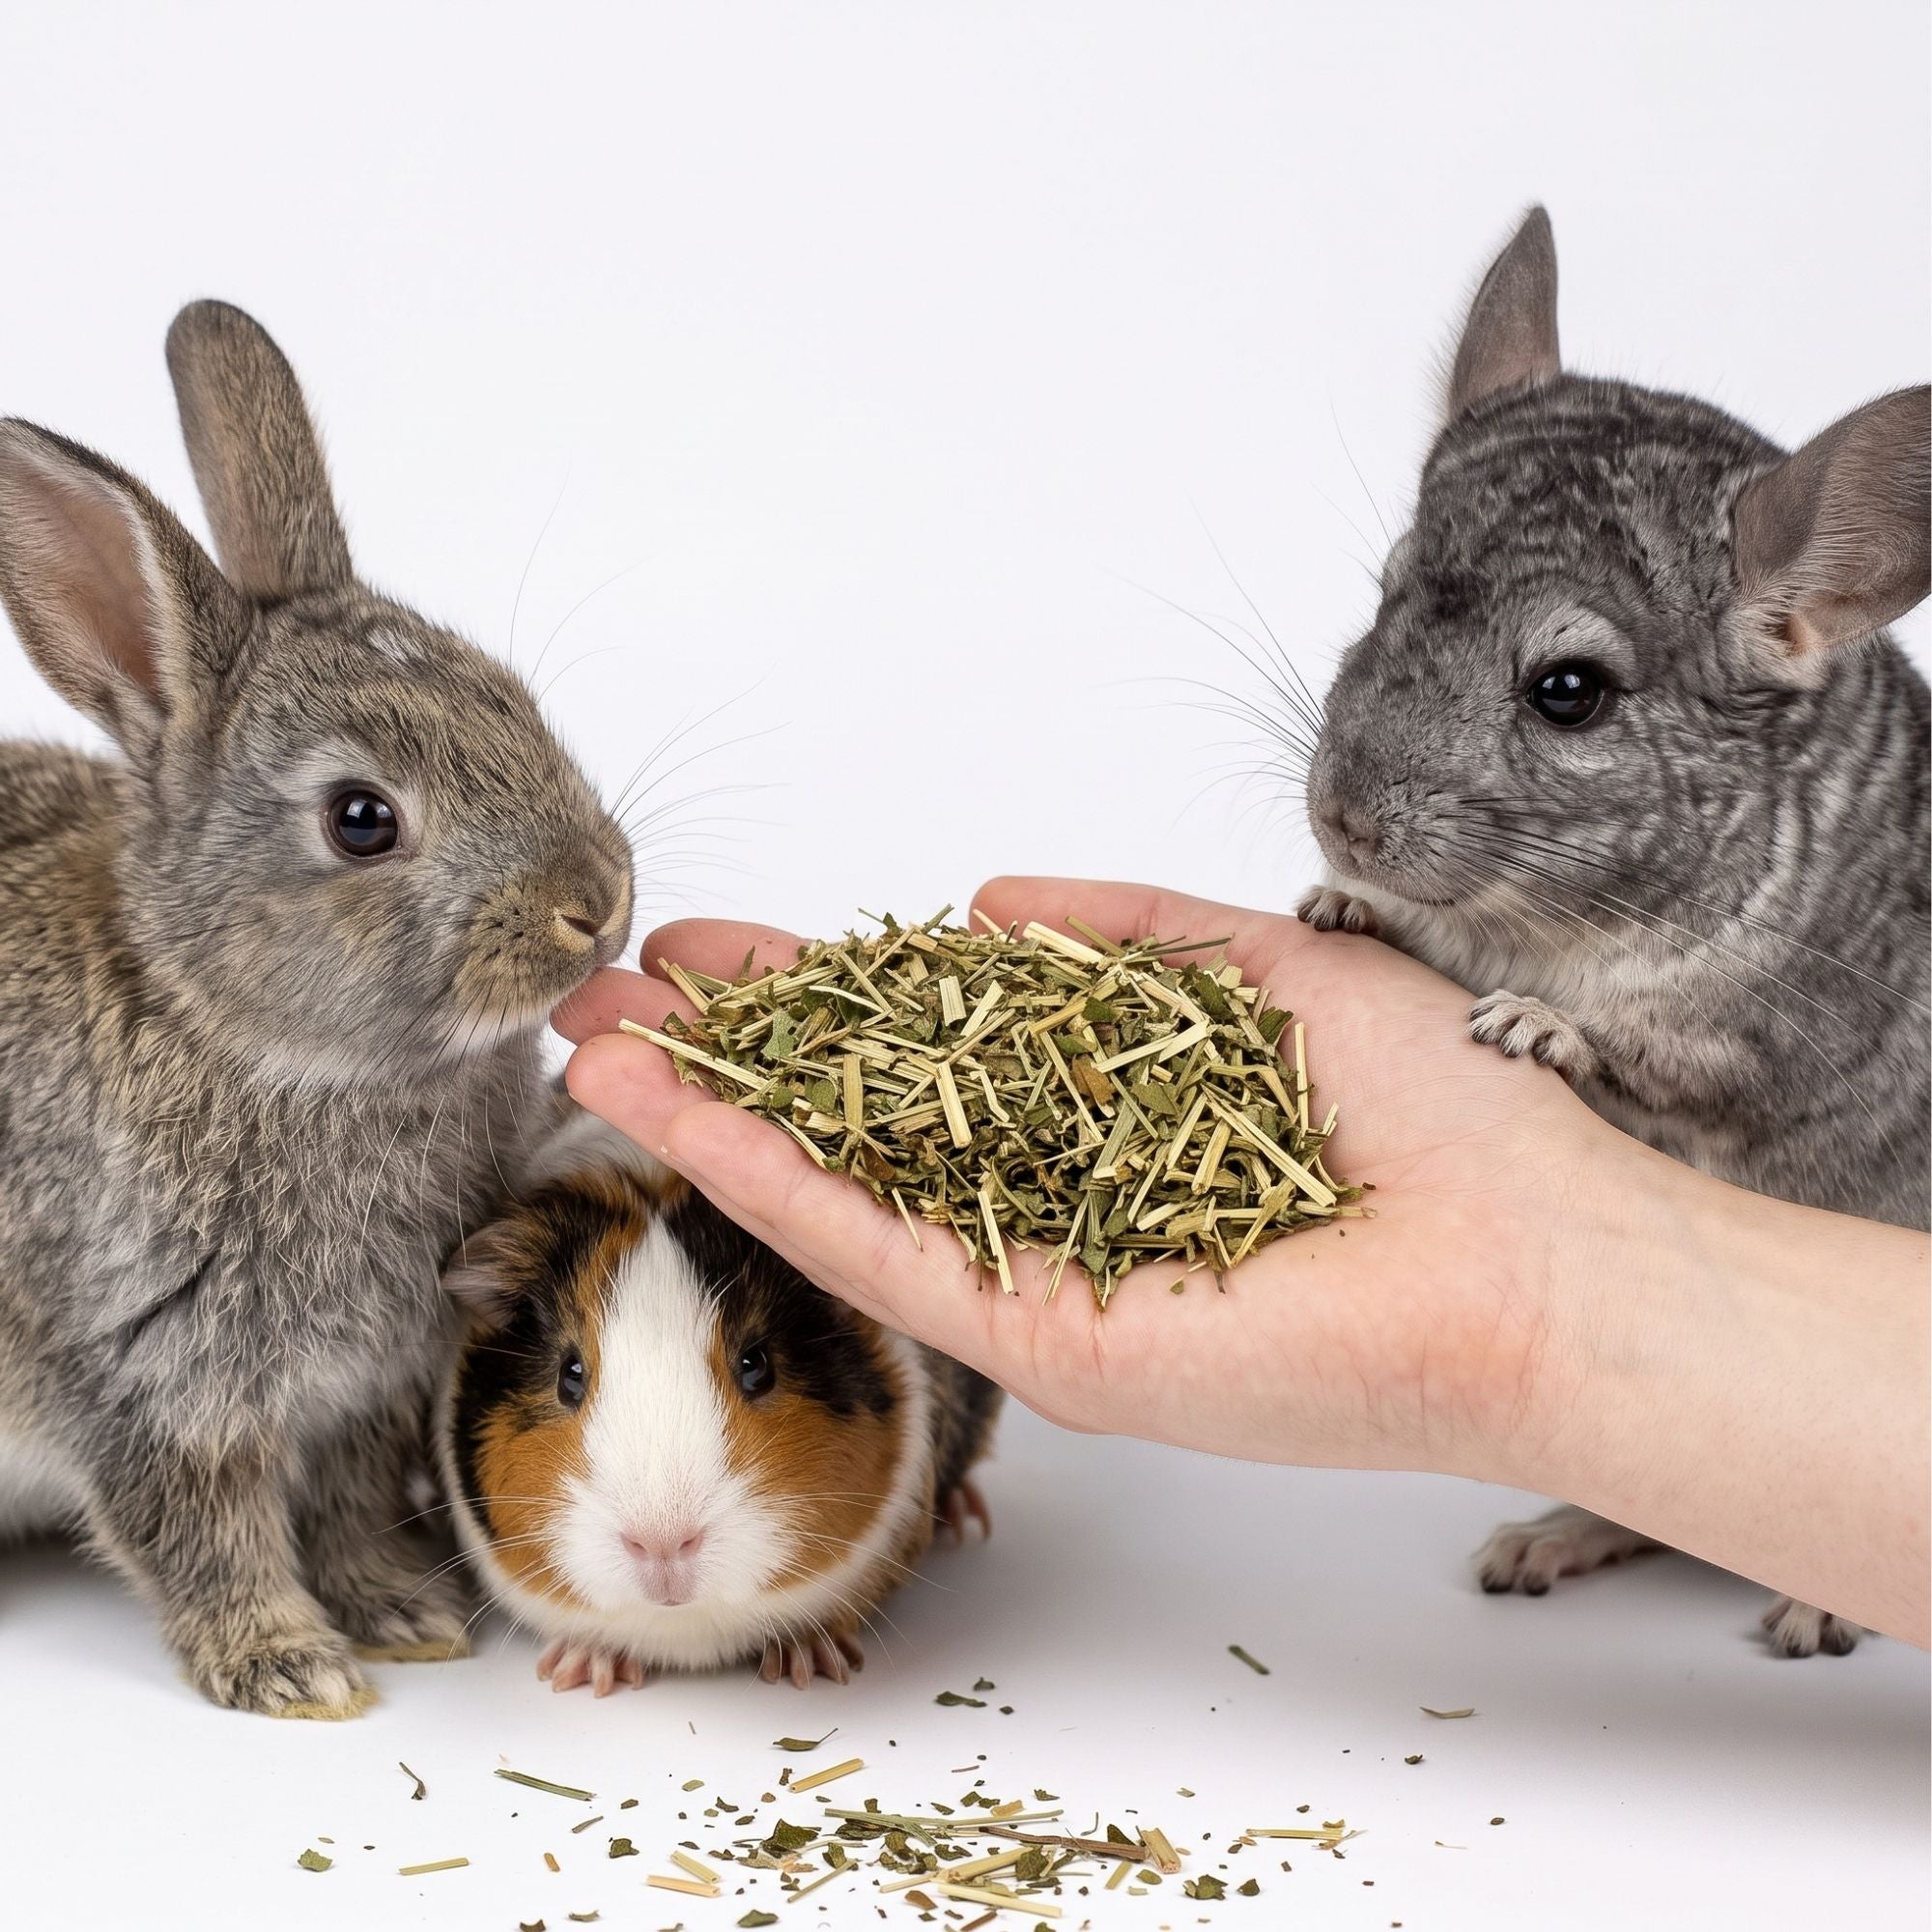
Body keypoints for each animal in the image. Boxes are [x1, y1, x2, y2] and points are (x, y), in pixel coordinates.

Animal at [0, 301, 634, 1716]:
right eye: (360, 819)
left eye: (510, 699)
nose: (597, 900)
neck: (238, 1030)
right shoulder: (142, 1375)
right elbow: (201, 1532)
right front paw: (291, 1669)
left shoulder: (367, 1386)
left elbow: (343, 1506)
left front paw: (403, 1614)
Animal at [437, 1107, 1002, 1694]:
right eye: (569, 1376)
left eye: (756, 1365)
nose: (662, 1545)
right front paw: (584, 1669)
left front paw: (809, 1662)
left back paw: (965, 1520)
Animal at [1296, 208, 1929, 1657]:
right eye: (1384, 595)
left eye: (1568, 690)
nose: (1339, 821)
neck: (1533, 925)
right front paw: (1342, 908)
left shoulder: (1763, 1048)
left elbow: (1653, 1056)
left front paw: (1539, 1026)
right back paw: (1545, 1542)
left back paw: (1809, 1611)